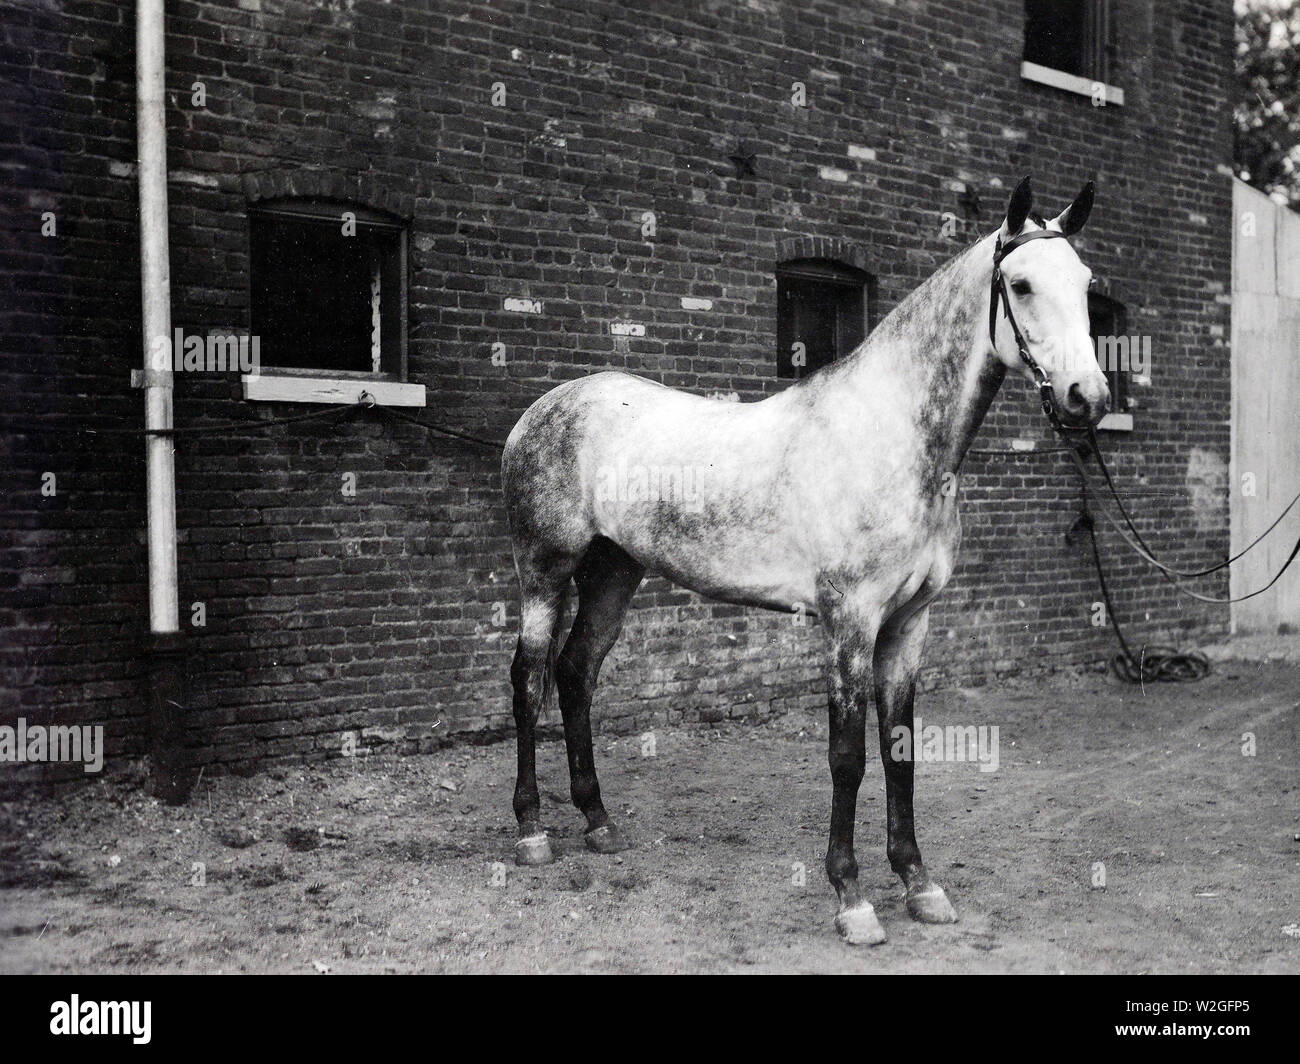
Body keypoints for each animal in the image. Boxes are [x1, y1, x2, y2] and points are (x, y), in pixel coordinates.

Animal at [496, 178, 1107, 941]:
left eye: (1087, 284)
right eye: (1020, 285)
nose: (1089, 398)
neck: (891, 437)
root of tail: (541, 411)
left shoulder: (910, 625)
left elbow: (900, 748)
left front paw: (919, 883)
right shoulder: (849, 622)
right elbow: (847, 756)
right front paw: (852, 898)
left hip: (614, 570)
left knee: (577, 672)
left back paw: (598, 821)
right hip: (544, 570)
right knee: (528, 681)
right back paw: (531, 832)